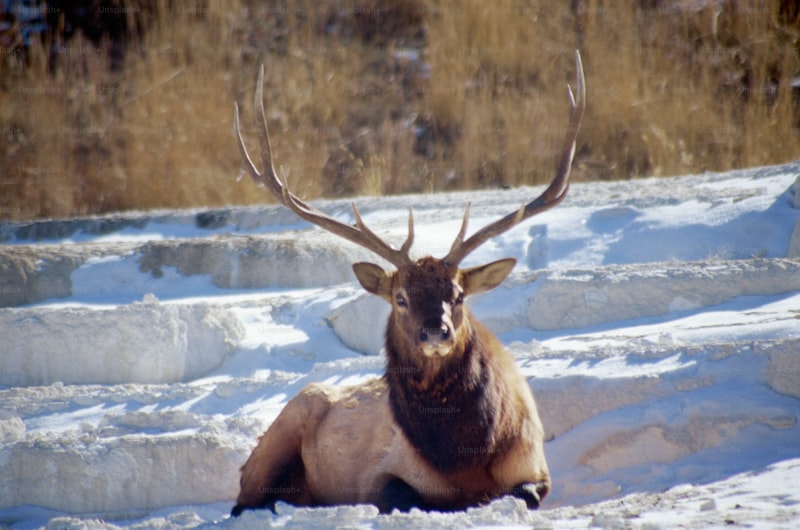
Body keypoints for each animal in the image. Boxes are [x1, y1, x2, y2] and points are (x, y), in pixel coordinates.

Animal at [228, 50, 584, 516]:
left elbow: (523, 493)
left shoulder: (535, 466)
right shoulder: (380, 476)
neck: (467, 456)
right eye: (400, 297)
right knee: (242, 501)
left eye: (459, 295)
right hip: (279, 433)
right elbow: (408, 497)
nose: (435, 331)